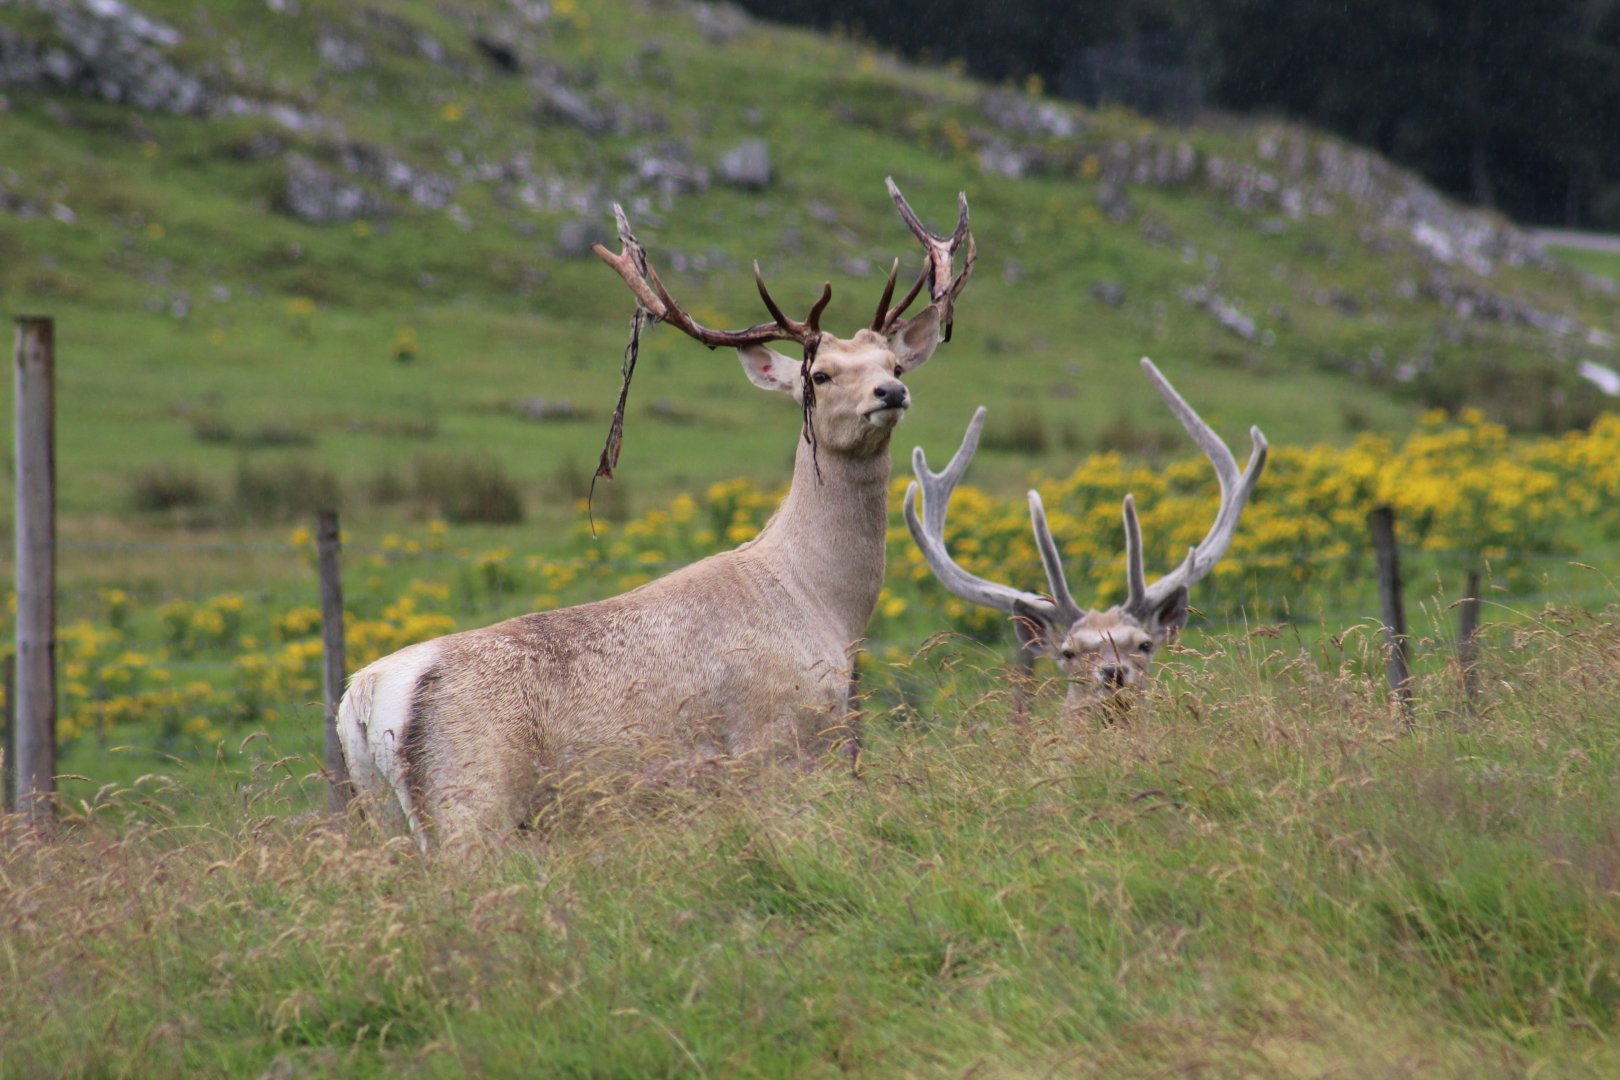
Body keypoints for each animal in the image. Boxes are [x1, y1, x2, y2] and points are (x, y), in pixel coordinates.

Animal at [337, 179, 974, 848]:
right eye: (819, 375)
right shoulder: (772, 741)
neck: (820, 604)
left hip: (386, 816)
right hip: (471, 801)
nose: (892, 392)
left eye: (894, 365)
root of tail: (364, 698)